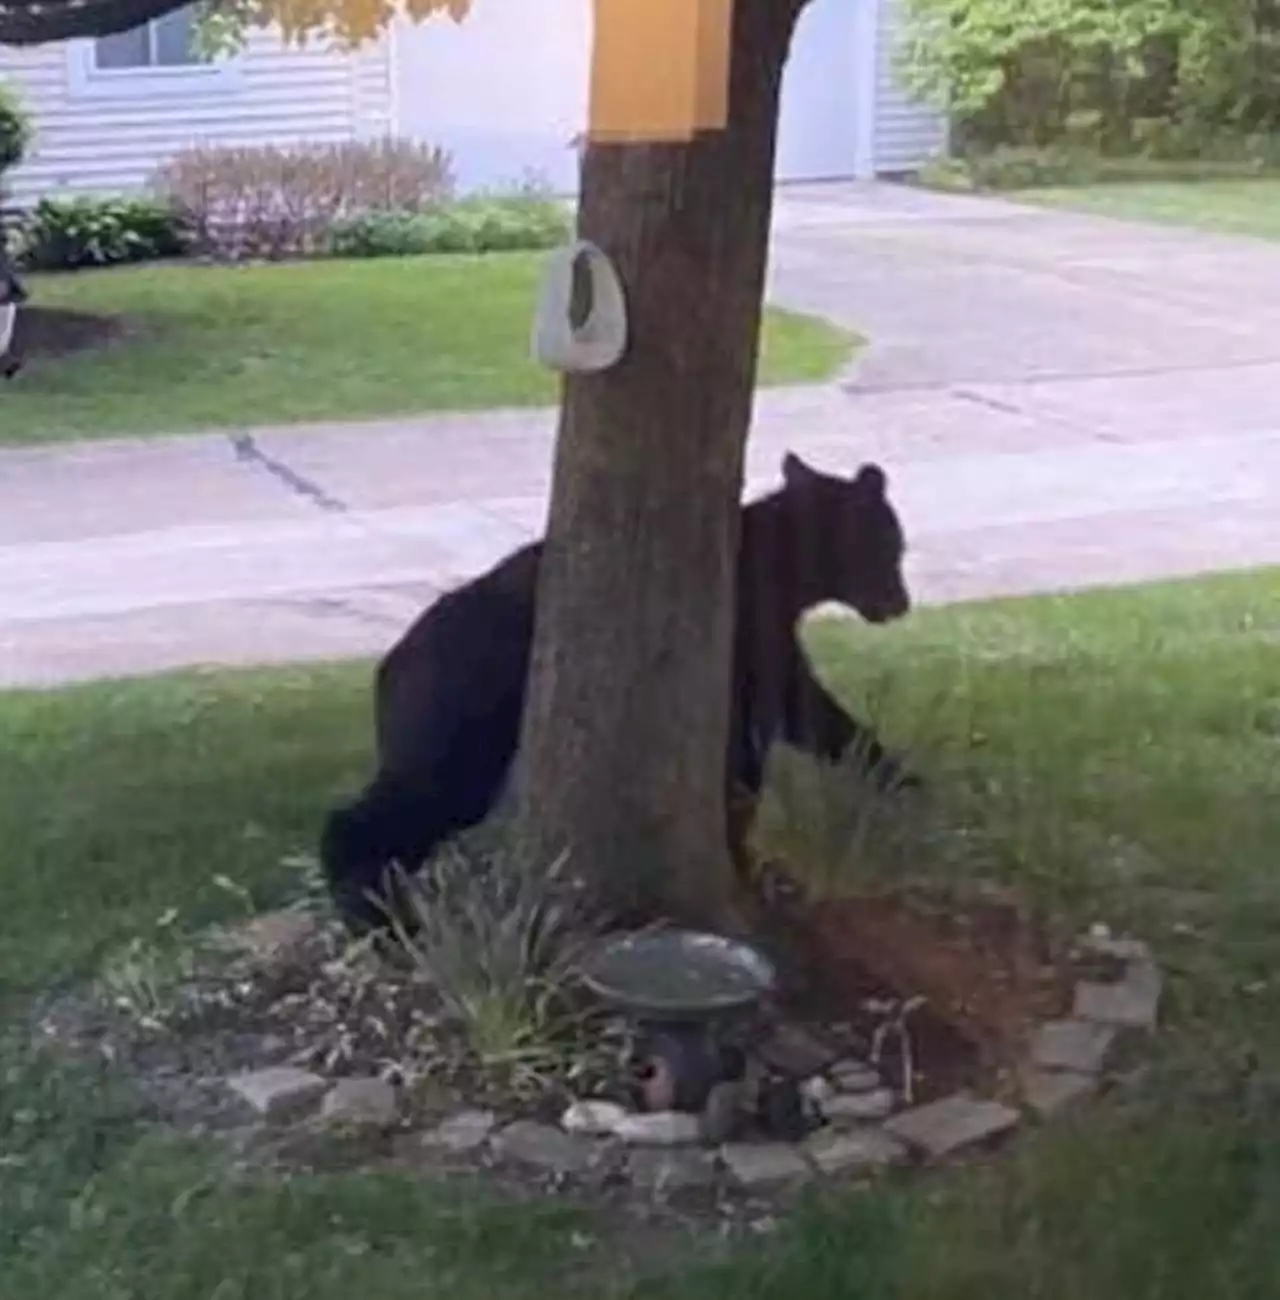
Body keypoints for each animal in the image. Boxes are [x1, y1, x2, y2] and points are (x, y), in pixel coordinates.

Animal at [324, 454, 914, 935]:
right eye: (892, 544)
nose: (902, 601)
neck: (788, 574)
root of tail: (388, 667)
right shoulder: (751, 634)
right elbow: (796, 715)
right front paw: (898, 776)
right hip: (459, 723)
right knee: (401, 805)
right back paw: (372, 912)